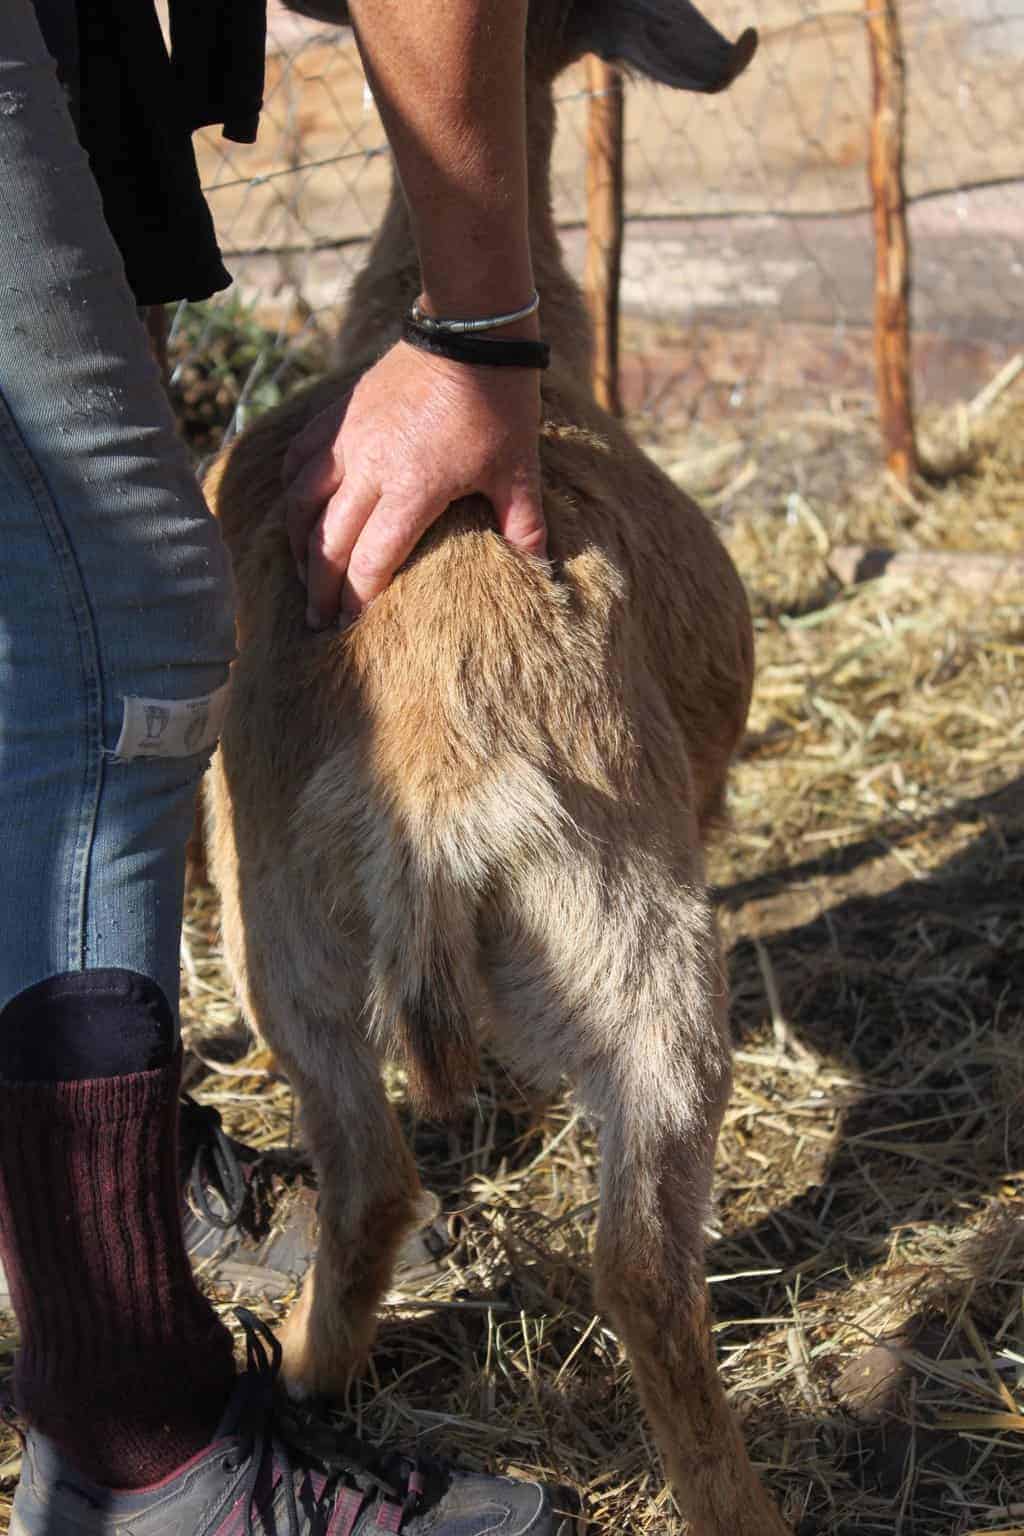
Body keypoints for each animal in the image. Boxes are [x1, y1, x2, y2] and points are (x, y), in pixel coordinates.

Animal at [204, 3, 788, 1531]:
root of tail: (433, 800)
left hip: (279, 943)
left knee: (370, 1182)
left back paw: (308, 1372)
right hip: (641, 954)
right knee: (641, 1271)